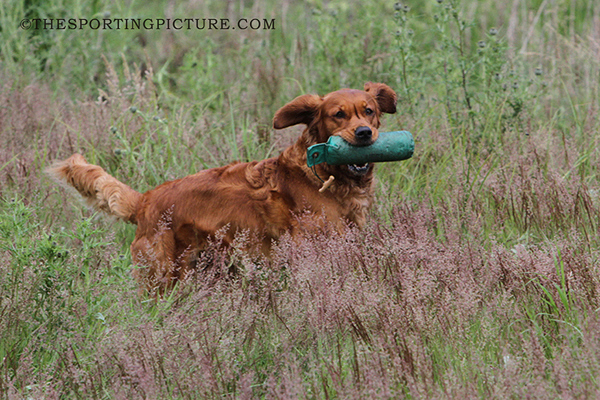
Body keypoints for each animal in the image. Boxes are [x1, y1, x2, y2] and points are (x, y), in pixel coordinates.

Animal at [48, 82, 397, 292]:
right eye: (338, 115)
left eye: (369, 111)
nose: (364, 133)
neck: (322, 172)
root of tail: (145, 200)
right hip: (163, 278)